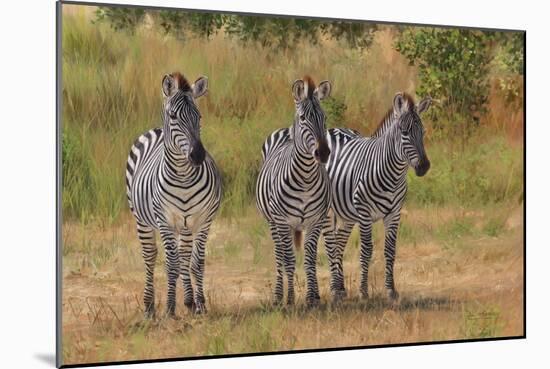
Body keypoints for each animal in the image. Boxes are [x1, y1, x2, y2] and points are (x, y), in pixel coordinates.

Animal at [126, 72, 221, 316]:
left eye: (199, 116)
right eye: (173, 116)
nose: (197, 155)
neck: (183, 178)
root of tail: (156, 130)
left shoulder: (203, 220)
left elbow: (195, 262)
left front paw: (200, 304)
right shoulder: (165, 221)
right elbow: (171, 264)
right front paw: (169, 308)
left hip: (185, 225)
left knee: (184, 257)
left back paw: (188, 301)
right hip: (142, 220)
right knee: (151, 257)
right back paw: (149, 307)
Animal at [258, 76, 332, 306]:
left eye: (324, 117)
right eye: (303, 118)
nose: (323, 152)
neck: (305, 179)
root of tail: (285, 131)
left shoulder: (315, 221)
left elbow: (310, 258)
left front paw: (313, 297)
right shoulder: (282, 221)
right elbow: (289, 259)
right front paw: (290, 298)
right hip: (273, 223)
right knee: (280, 254)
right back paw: (278, 296)